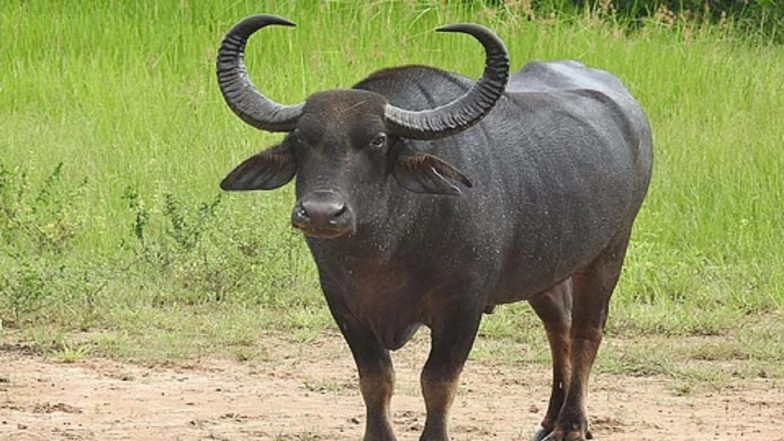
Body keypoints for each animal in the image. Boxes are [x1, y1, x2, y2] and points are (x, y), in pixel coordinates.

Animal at [217, 14, 652, 441]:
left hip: (610, 250)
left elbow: (437, 382)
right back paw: (548, 420)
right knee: (558, 325)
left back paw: (572, 425)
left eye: (377, 140)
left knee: (586, 332)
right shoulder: (344, 303)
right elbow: (376, 379)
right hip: (546, 268)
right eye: (301, 140)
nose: (322, 213)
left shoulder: (462, 306)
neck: (388, 248)